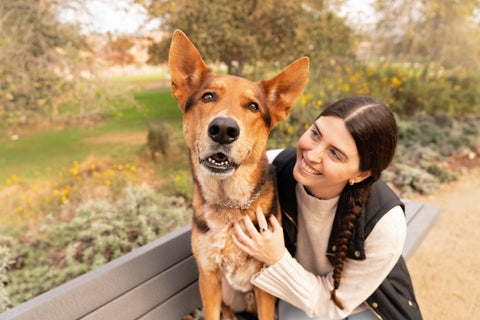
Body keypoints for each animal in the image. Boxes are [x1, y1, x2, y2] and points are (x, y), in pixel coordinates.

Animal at [169, 30, 310, 320]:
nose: (223, 129)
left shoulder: (264, 286)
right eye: (208, 97)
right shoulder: (209, 278)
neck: (229, 206)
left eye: (253, 106)